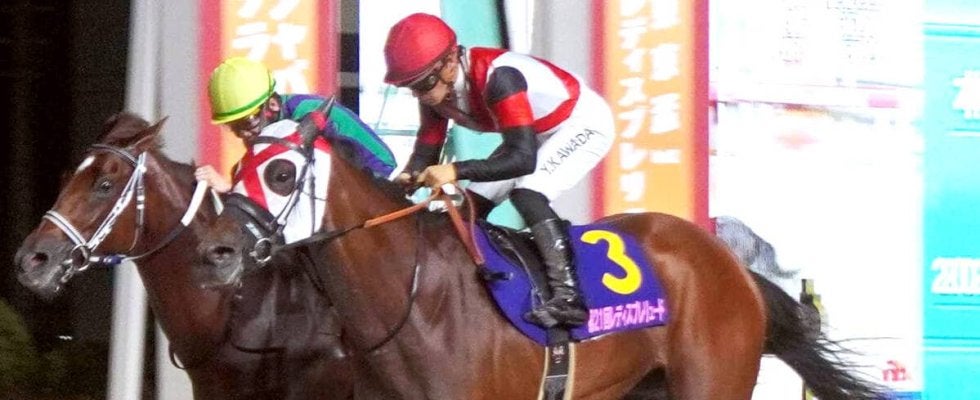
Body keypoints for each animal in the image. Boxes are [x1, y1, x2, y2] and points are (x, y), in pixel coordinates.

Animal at [195, 116, 887, 399]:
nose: (213, 253)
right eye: (235, 169)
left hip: (712, 385)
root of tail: (729, 264)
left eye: (282, 172)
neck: (413, 306)